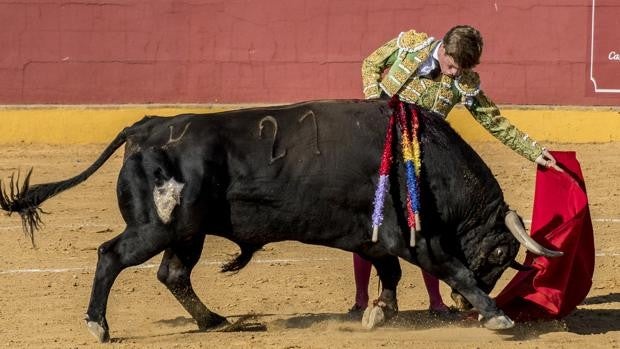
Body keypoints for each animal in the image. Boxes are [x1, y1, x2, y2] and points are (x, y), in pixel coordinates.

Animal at [1, 98, 560, 340]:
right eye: (500, 252)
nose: (467, 311)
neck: (424, 156)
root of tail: (149, 126)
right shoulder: (416, 237)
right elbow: (450, 268)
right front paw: (497, 315)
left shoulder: (376, 237)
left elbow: (389, 272)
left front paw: (379, 312)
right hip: (155, 227)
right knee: (111, 256)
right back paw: (98, 325)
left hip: (186, 232)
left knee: (172, 273)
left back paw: (214, 321)